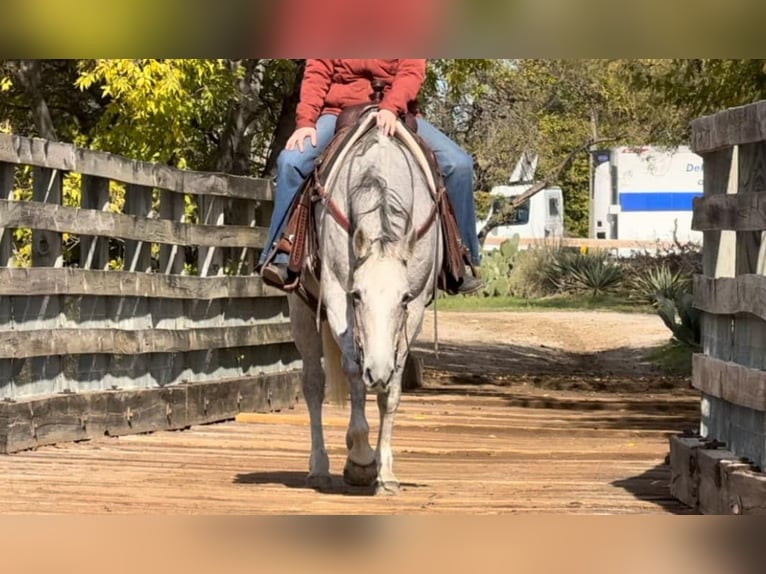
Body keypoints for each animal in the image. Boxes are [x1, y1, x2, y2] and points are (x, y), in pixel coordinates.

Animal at [287, 111, 443, 494]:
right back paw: (320, 466)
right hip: (301, 309)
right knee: (313, 383)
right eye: (357, 295)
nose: (378, 370)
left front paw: (384, 471)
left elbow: (393, 388)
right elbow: (354, 370)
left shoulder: (417, 305)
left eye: (403, 298)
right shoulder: (335, 295)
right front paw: (359, 458)